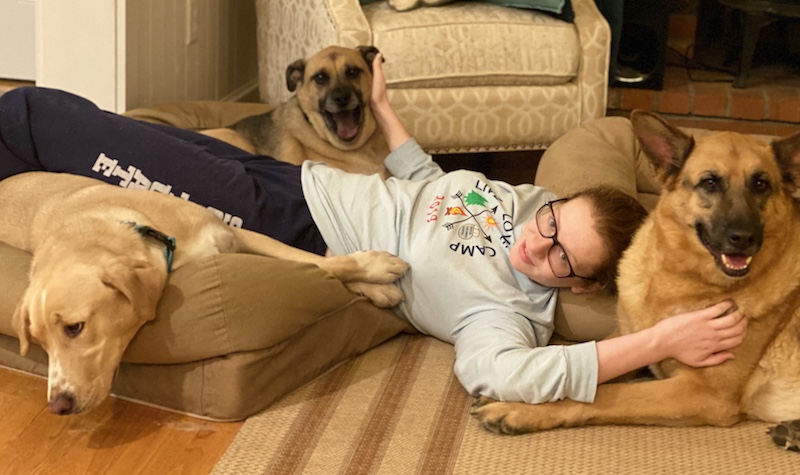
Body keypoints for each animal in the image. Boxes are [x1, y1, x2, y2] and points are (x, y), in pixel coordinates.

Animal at [0, 172, 410, 416]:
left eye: (75, 328)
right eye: (40, 344)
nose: (57, 405)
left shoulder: (239, 236)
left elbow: (315, 261)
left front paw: (375, 274)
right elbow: (322, 268)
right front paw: (378, 280)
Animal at [468, 110, 800, 450]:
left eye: (761, 184)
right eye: (710, 182)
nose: (744, 238)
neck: (680, 280)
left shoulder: (700, 392)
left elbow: (602, 394)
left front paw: (517, 408)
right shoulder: (626, 337)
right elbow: (590, 360)